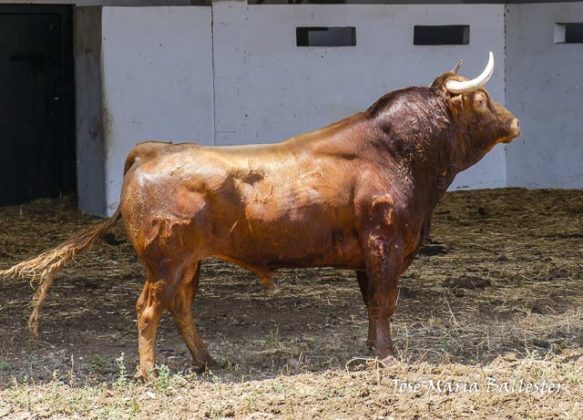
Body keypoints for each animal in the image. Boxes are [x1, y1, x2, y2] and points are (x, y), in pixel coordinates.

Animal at [0, 51, 520, 378]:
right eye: (480, 99)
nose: (514, 121)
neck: (396, 152)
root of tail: (151, 150)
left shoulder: (370, 256)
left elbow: (372, 304)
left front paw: (374, 350)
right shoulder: (386, 246)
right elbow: (383, 301)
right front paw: (390, 358)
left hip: (189, 263)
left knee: (181, 306)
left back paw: (207, 362)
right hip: (164, 262)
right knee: (150, 308)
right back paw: (149, 374)